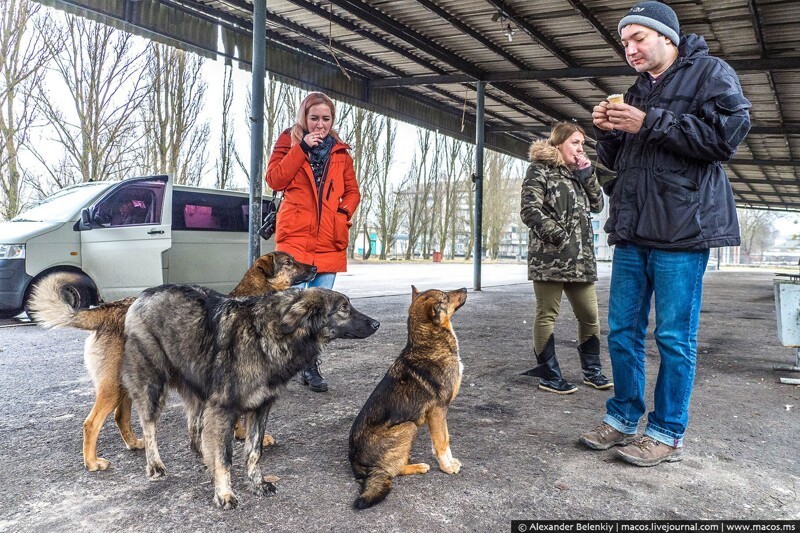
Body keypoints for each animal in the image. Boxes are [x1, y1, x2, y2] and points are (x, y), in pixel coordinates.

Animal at [346, 284, 468, 510]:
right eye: (445, 297)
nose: (465, 288)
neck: (428, 343)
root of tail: (357, 466)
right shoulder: (438, 411)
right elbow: (442, 442)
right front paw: (446, 467)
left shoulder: (437, 415)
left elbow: (443, 439)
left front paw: (449, 461)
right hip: (409, 426)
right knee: (393, 470)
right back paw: (417, 466)